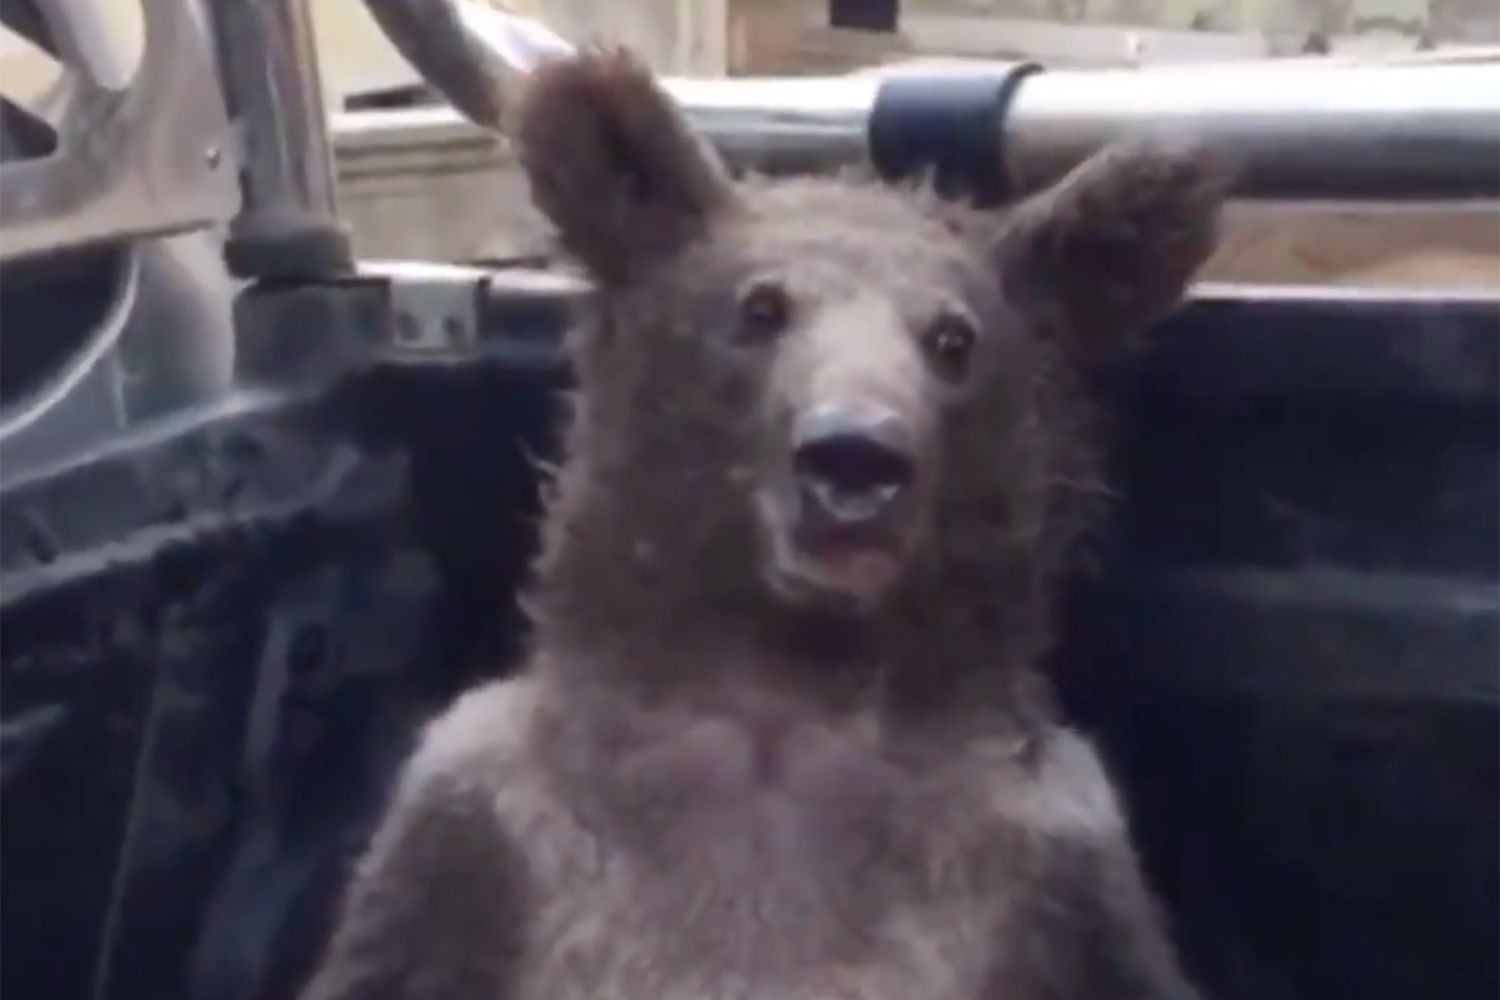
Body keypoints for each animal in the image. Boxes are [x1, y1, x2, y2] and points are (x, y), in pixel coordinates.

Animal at [298, 46, 1228, 1000]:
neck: (779, 708)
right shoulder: (471, 827)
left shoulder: (1058, 865)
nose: (855, 458)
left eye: (954, 338)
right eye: (761, 308)